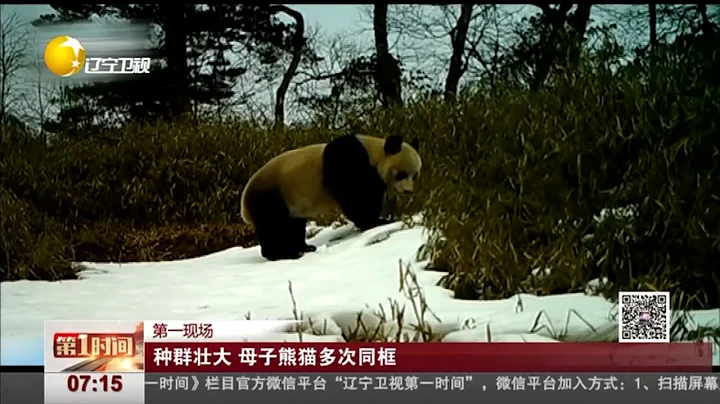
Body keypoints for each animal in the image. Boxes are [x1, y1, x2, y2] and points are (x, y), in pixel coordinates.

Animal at [242, 135, 422, 262]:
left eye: (415, 175)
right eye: (401, 174)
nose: (408, 191)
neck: (374, 152)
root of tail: (244, 203)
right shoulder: (348, 161)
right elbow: (355, 196)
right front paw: (377, 221)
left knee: (293, 225)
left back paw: (304, 247)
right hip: (272, 195)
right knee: (274, 225)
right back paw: (284, 254)